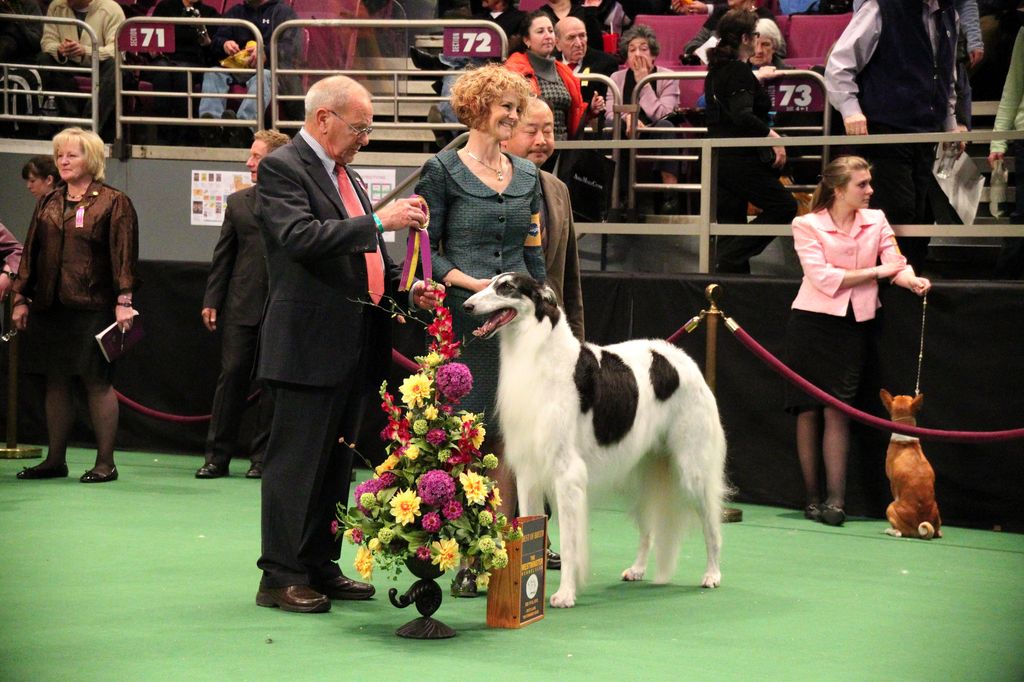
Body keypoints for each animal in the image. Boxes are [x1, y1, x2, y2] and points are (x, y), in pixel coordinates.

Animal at [464, 274, 729, 606]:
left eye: (506, 288)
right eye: (490, 283)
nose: (467, 305)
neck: (539, 352)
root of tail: (684, 360)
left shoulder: (567, 474)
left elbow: (569, 542)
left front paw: (565, 593)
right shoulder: (528, 474)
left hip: (692, 469)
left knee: (711, 525)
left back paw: (713, 574)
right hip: (638, 472)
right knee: (649, 527)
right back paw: (637, 569)